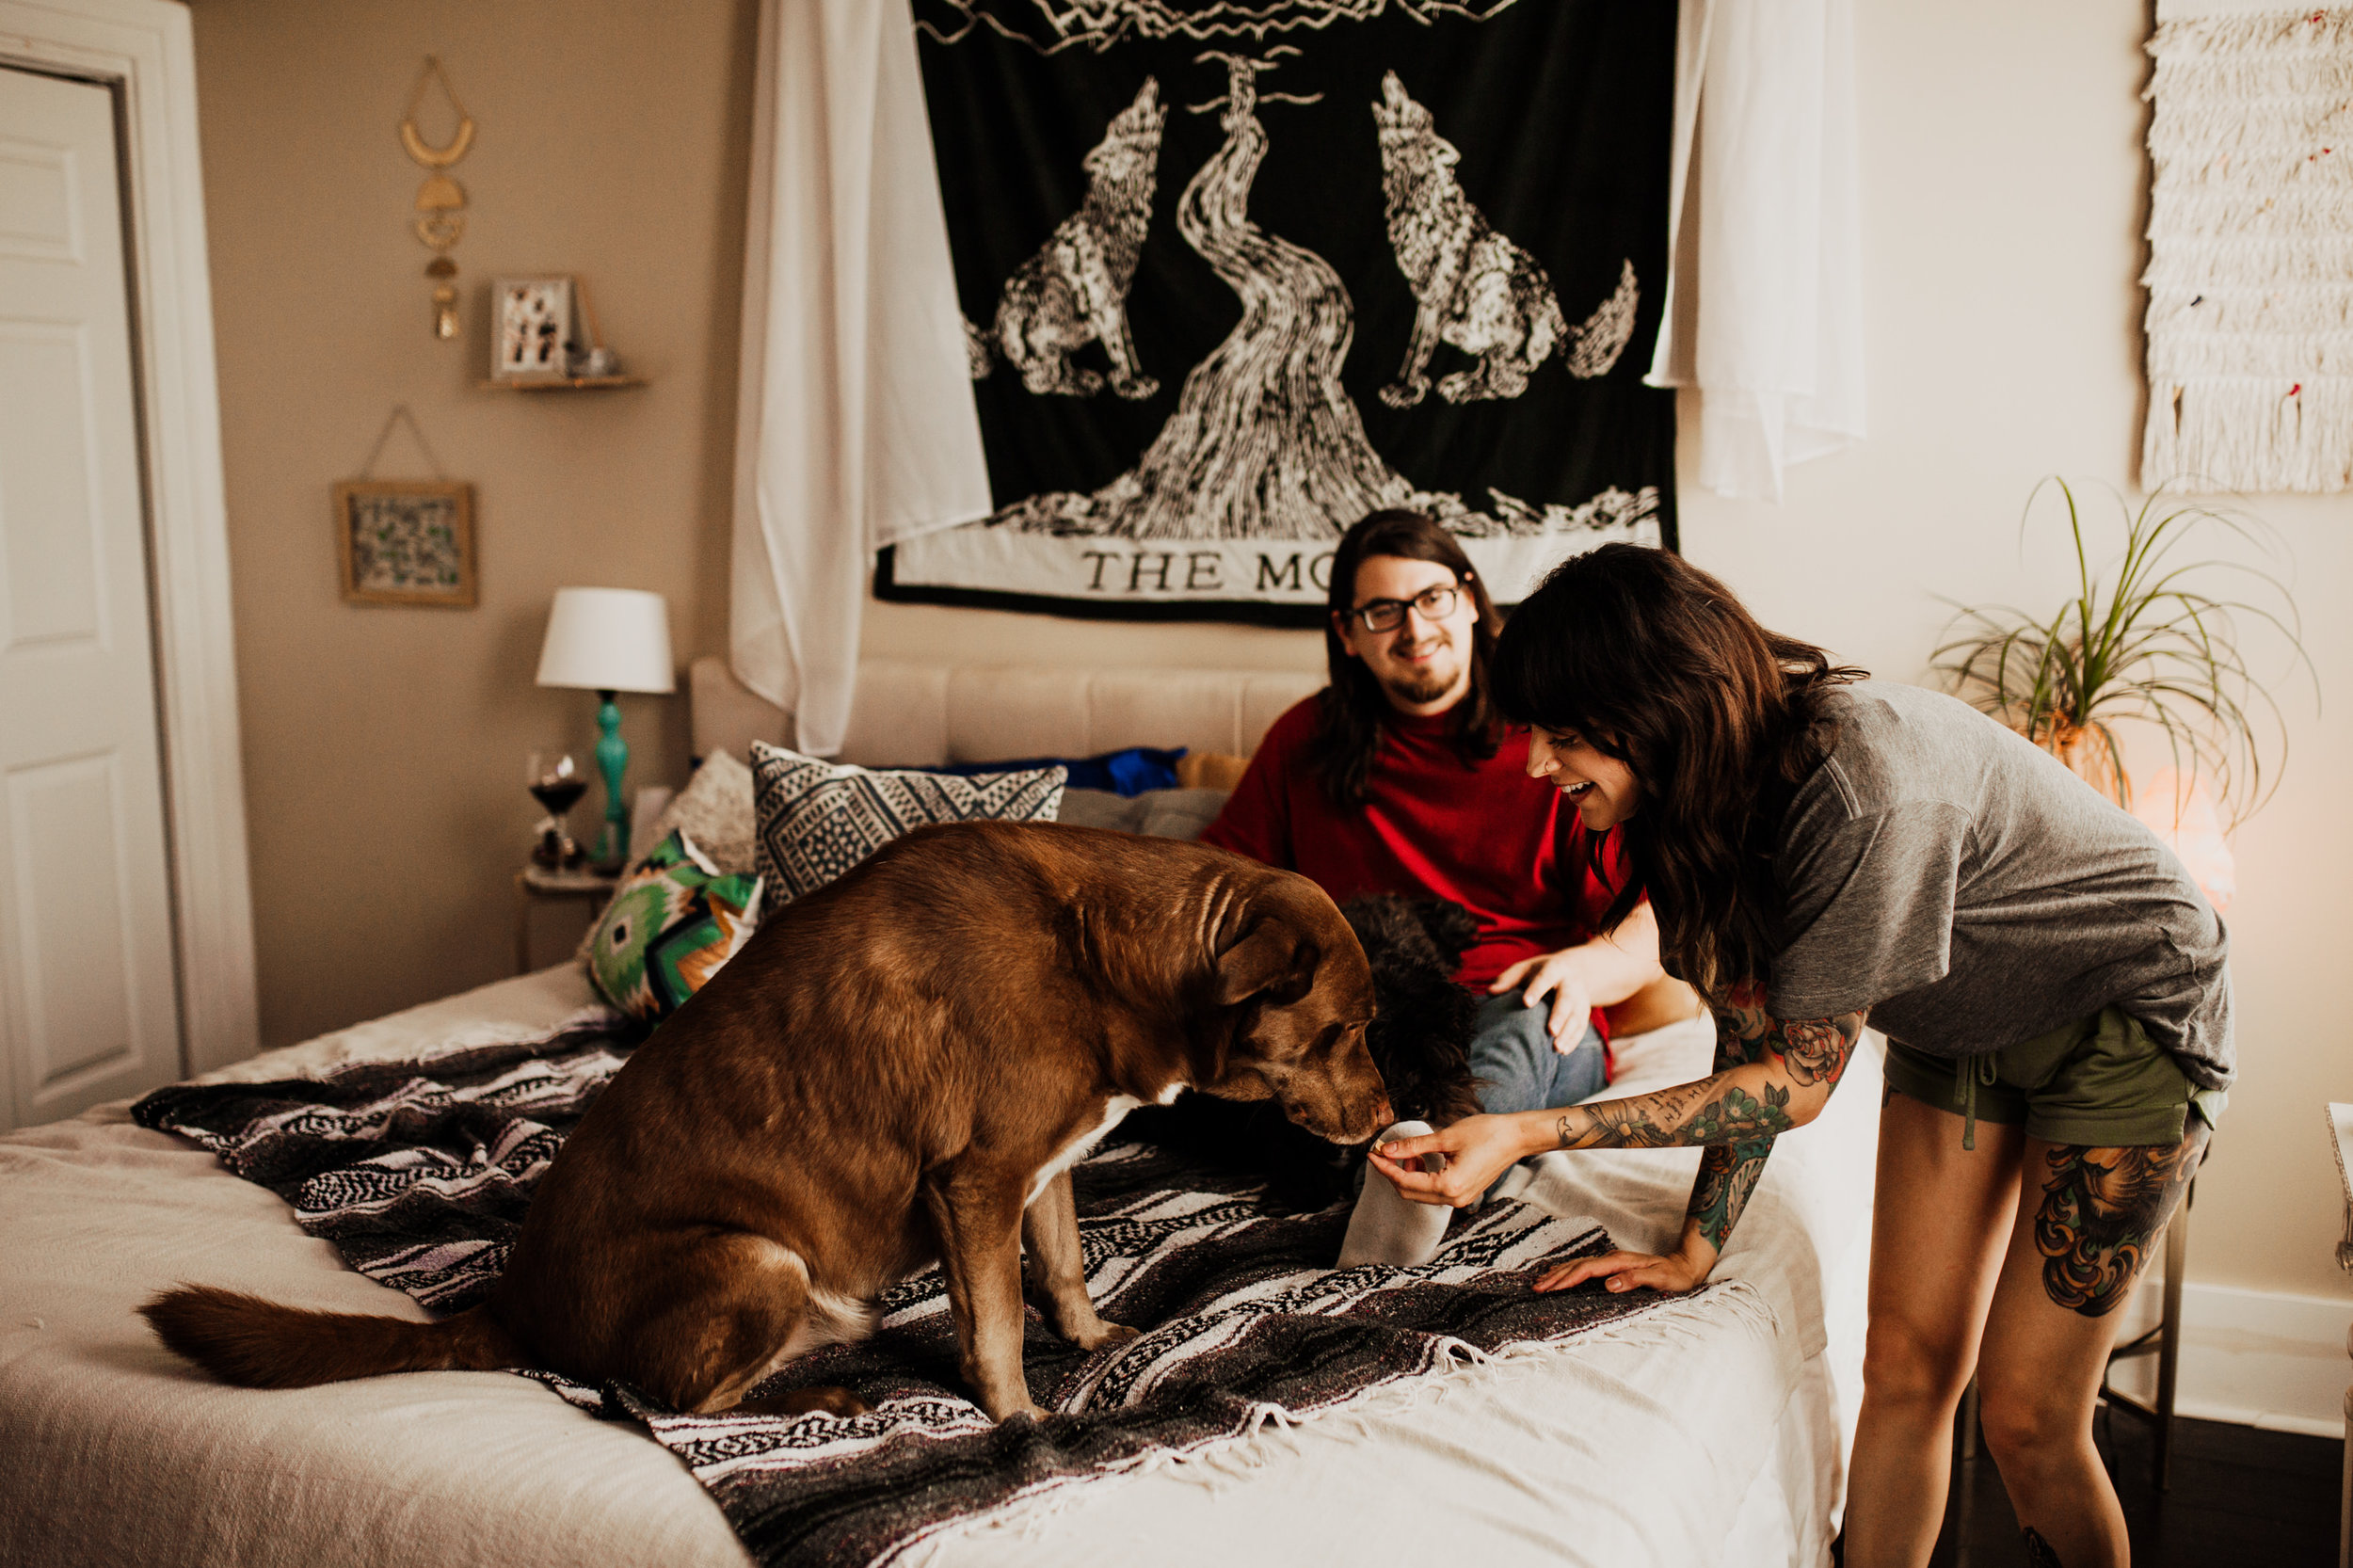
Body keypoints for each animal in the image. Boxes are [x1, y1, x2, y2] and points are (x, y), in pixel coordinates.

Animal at [142, 819, 1393, 1412]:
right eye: (1343, 1029)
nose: (1391, 1123)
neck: (1109, 955)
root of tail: (512, 1310)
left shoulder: (1044, 1172)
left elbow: (1067, 1272)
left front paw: (1090, 1346)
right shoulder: (979, 1180)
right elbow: (995, 1331)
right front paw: (1026, 1423)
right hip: (757, 1260)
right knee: (665, 1397)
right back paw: (827, 1389)